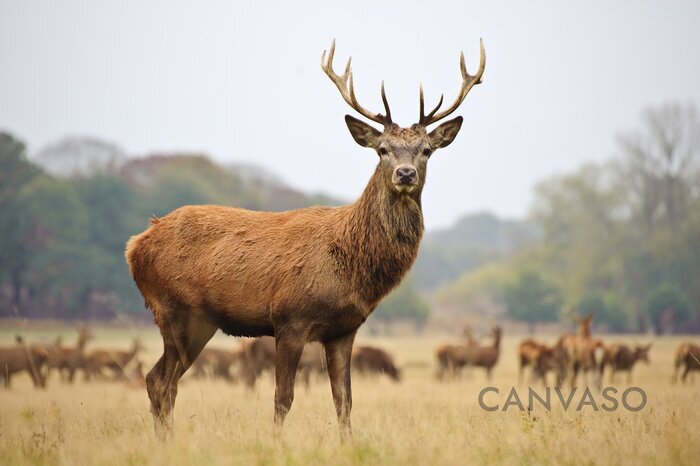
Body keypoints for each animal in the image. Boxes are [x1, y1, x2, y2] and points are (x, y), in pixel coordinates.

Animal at [126, 39, 486, 440]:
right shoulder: (290, 319)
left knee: (160, 380)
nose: (405, 174)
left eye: (426, 150)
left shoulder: (345, 329)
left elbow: (344, 400)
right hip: (174, 309)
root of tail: (135, 245)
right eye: (382, 150)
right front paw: (275, 444)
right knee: (161, 381)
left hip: (199, 321)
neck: (351, 265)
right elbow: (283, 398)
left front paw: (347, 444)